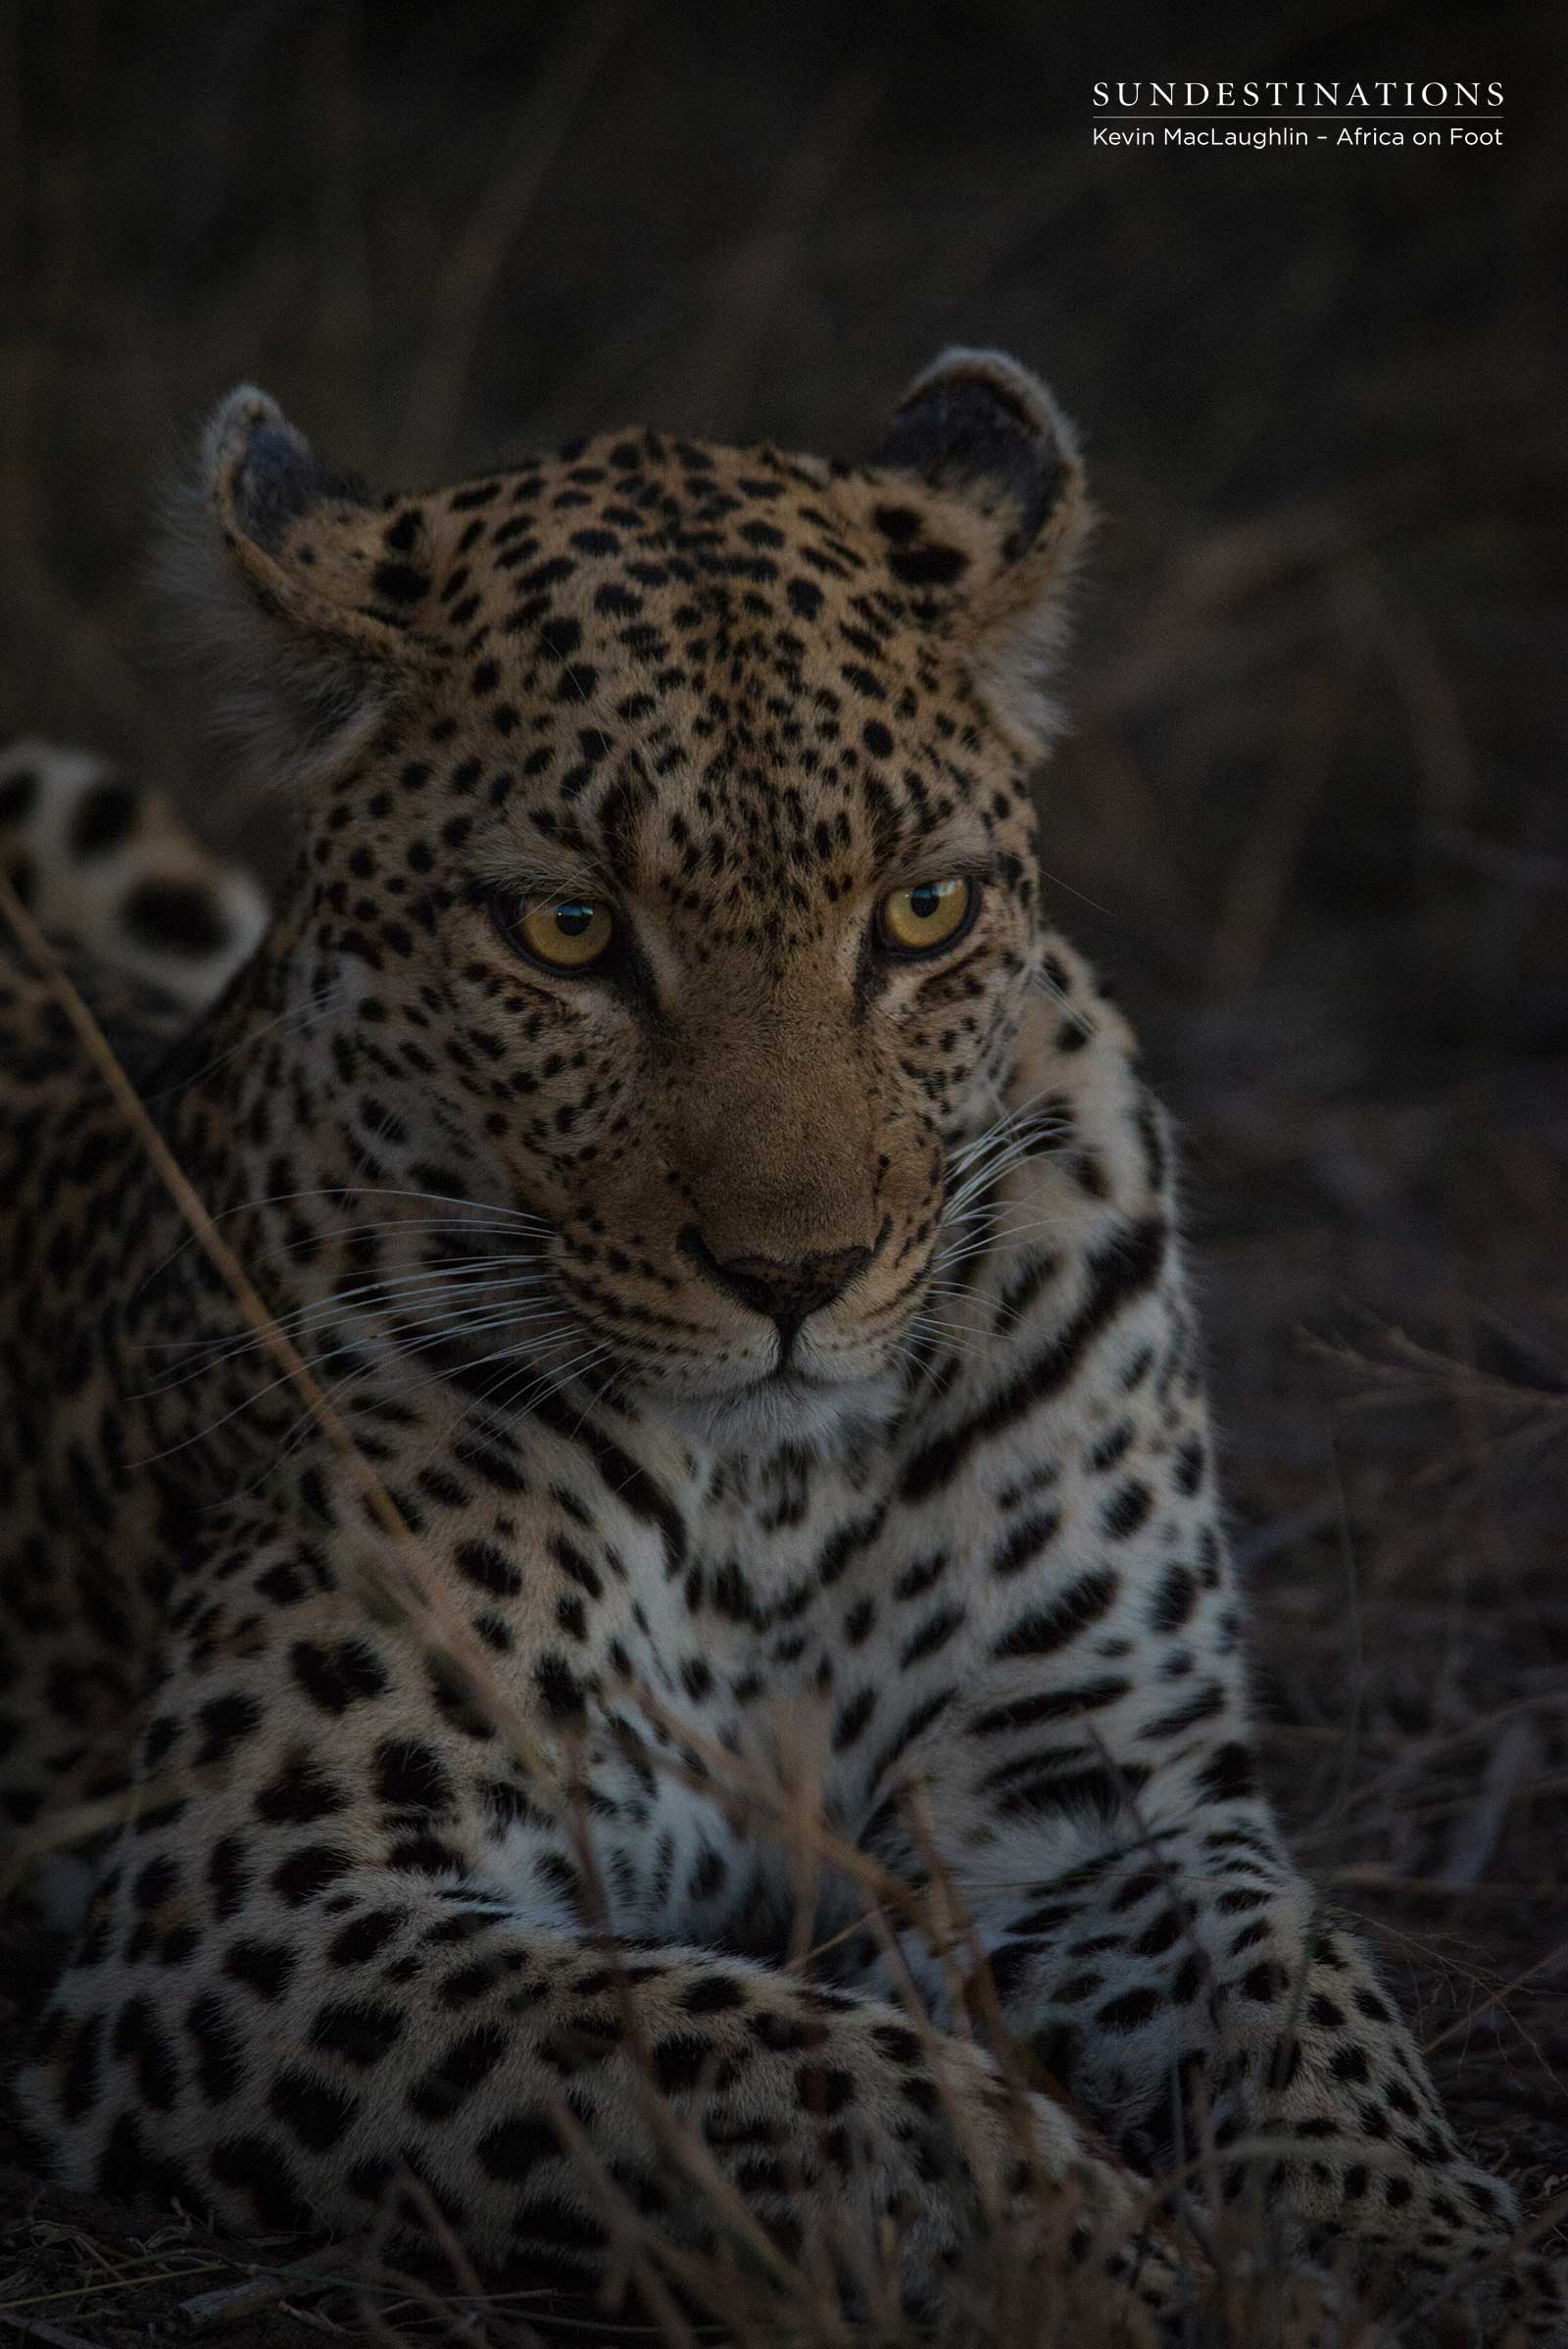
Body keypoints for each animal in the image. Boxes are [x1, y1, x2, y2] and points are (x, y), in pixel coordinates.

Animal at [1, 351, 1561, 2343]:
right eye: (566, 930)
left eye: (923, 912)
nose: (799, 1272)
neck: (777, 1492)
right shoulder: (261, 1901)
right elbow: (767, 2060)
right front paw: (1113, 2262)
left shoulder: (1076, 1795)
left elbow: (1304, 1992)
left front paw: (1430, 2242)